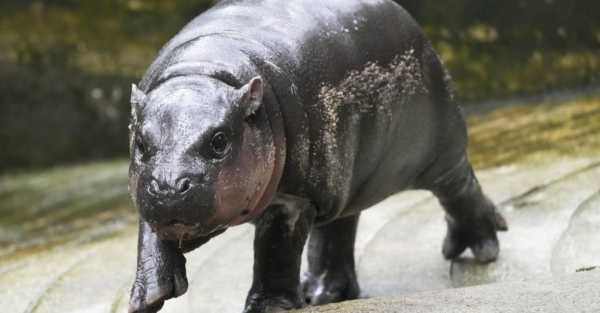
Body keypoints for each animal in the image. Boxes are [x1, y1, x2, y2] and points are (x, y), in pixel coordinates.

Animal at [126, 0, 506, 312]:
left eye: (219, 140)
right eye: (141, 143)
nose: (170, 186)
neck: (203, 73)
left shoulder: (294, 199)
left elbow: (276, 251)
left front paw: (270, 307)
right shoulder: (144, 188)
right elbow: (149, 237)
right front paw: (147, 299)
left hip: (439, 149)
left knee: (459, 187)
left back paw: (481, 248)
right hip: (346, 180)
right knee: (338, 229)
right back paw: (322, 293)